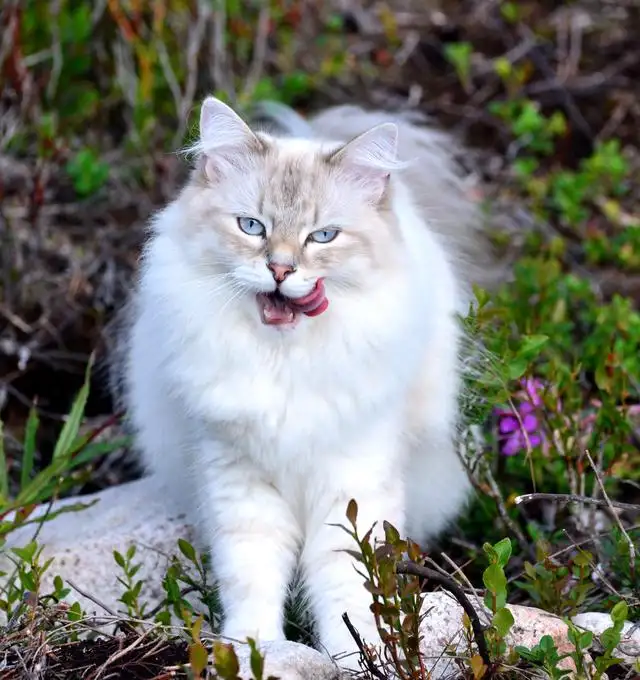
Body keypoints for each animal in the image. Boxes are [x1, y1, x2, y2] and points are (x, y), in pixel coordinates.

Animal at [119, 98, 496, 672]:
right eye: (251, 226)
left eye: (323, 236)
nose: (279, 269)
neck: (286, 360)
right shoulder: (240, 481)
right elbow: (252, 577)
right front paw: (254, 650)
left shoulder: (350, 484)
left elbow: (350, 590)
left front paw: (362, 661)